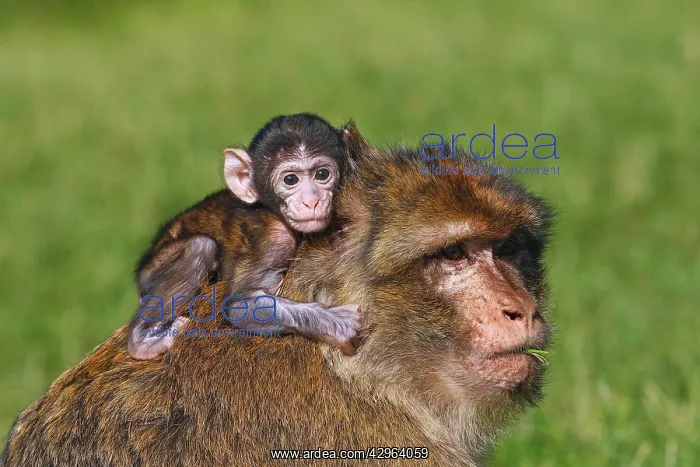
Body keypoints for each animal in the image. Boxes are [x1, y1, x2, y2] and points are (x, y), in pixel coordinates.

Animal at [128, 113, 364, 361]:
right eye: (290, 180)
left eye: (322, 174)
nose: (311, 201)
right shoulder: (274, 238)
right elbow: (240, 305)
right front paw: (339, 323)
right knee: (201, 247)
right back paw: (142, 341)